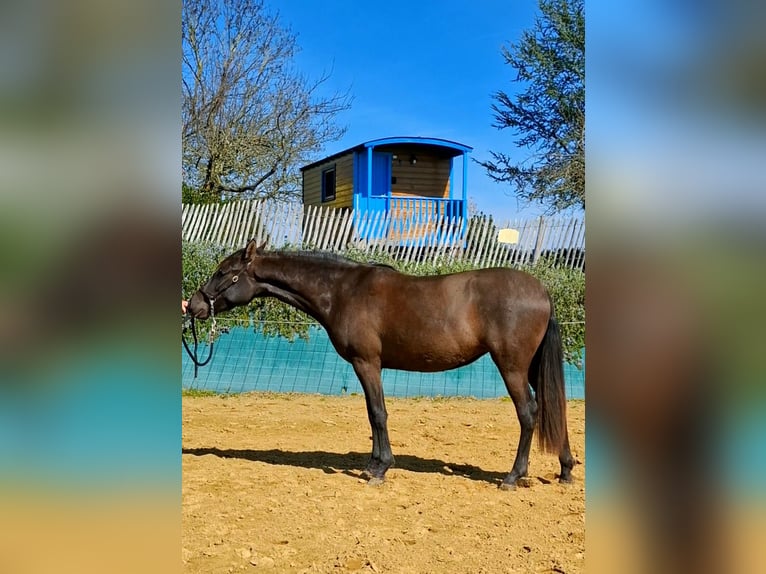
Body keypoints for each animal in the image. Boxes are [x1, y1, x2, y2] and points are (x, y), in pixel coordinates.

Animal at [186, 239, 575, 489]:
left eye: (224, 272)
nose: (194, 306)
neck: (342, 291)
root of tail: (542, 291)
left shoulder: (367, 363)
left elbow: (378, 413)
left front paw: (380, 470)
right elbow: (371, 415)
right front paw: (372, 463)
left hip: (512, 367)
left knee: (529, 413)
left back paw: (513, 477)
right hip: (532, 368)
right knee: (555, 408)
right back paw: (566, 470)